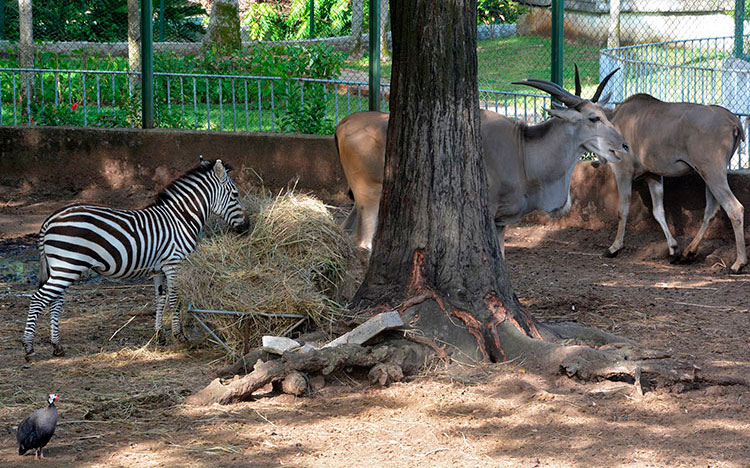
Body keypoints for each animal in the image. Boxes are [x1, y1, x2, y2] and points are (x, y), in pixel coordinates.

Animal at [21, 156, 247, 358]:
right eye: (235, 194)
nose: (247, 227)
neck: (181, 218)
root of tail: (50, 219)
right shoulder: (174, 264)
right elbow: (175, 299)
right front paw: (180, 337)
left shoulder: (159, 269)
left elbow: (160, 299)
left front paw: (159, 336)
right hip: (67, 266)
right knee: (38, 299)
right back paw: (29, 348)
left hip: (61, 267)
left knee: (55, 301)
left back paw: (57, 346)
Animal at [334, 71, 628, 258]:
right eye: (593, 118)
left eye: (606, 114)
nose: (623, 147)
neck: (522, 150)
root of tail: (343, 124)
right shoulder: (488, 214)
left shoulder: (500, 223)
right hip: (369, 197)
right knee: (364, 243)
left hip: (360, 201)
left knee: (347, 233)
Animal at [600, 92, 748, 270]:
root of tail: (733, 121)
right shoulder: (653, 176)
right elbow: (658, 212)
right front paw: (674, 249)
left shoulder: (623, 171)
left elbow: (622, 210)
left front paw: (614, 248)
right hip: (709, 175)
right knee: (711, 210)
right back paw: (688, 252)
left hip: (713, 173)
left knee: (735, 208)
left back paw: (739, 263)